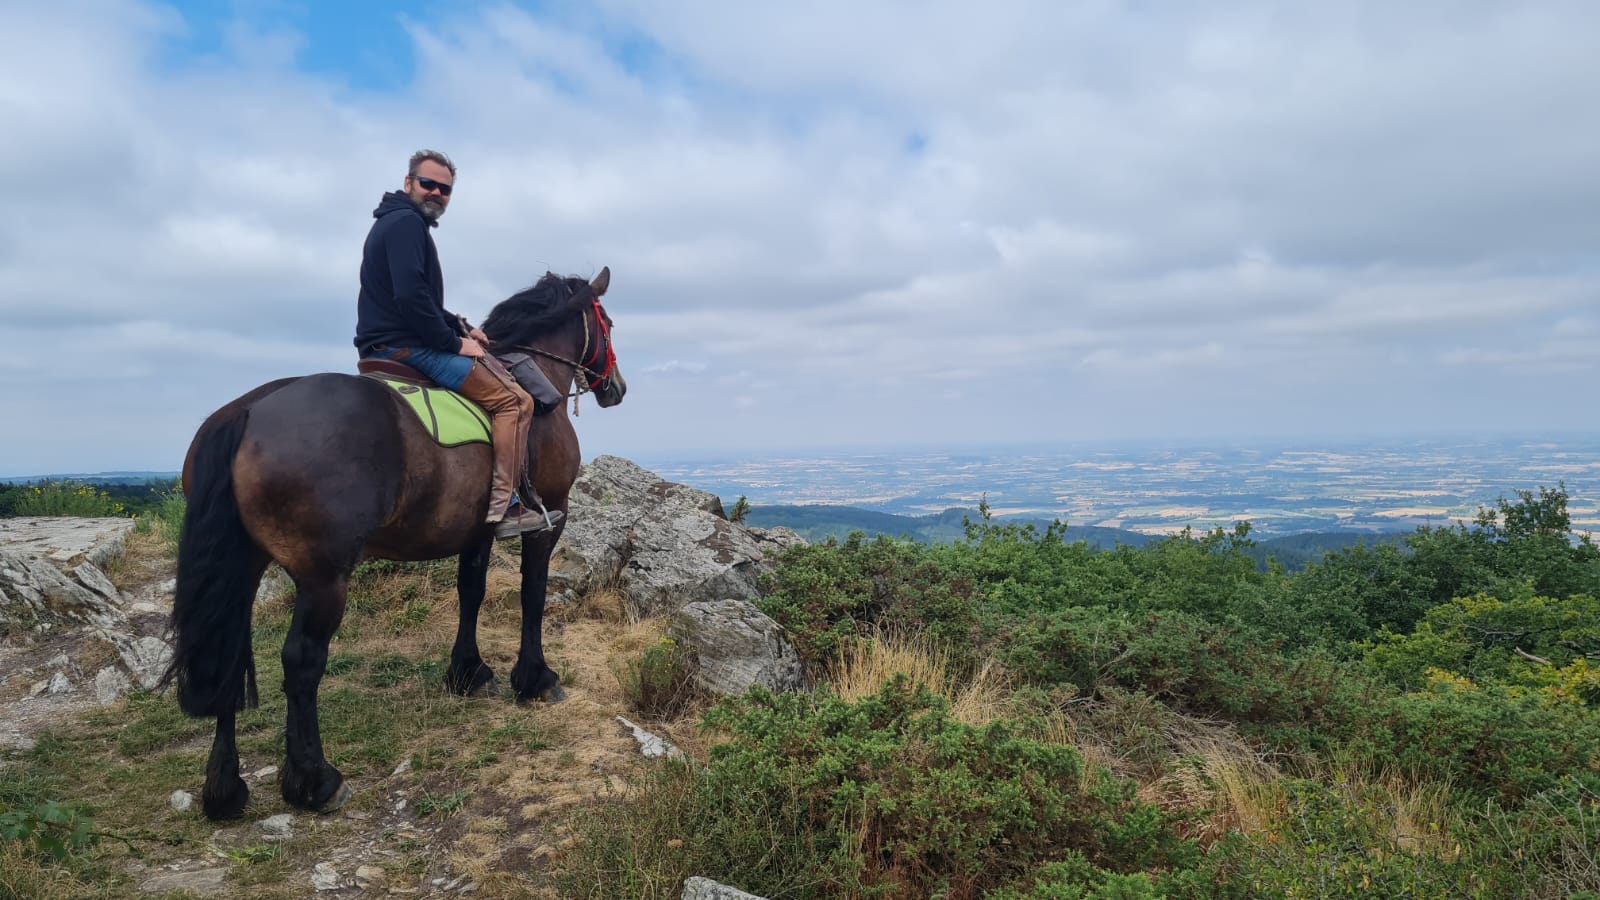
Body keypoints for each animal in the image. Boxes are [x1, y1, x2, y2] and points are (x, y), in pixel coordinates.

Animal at [164, 267, 624, 819]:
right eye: (608, 323)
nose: (617, 388)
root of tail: (248, 411)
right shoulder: (551, 516)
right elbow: (532, 594)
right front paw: (535, 678)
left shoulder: (477, 529)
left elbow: (470, 593)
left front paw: (467, 672)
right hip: (324, 578)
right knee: (301, 661)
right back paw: (315, 781)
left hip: (243, 565)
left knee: (229, 655)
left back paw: (225, 789)